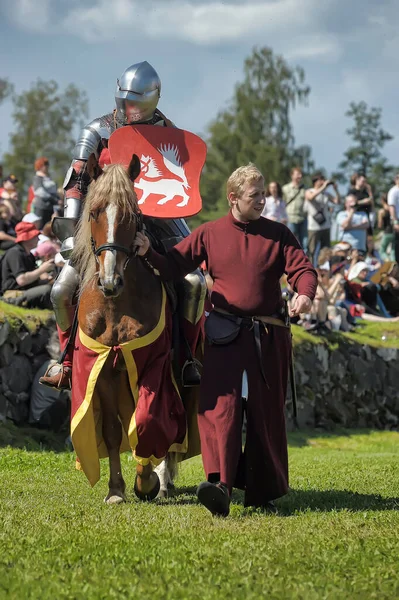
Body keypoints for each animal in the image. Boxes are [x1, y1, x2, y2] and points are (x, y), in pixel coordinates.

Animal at [72, 152, 191, 504]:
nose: (110, 281)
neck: (116, 303)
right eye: (94, 212)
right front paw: (116, 489)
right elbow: (113, 431)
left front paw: (146, 481)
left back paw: (163, 480)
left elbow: (148, 418)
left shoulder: (150, 362)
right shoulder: (103, 369)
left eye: (133, 215)